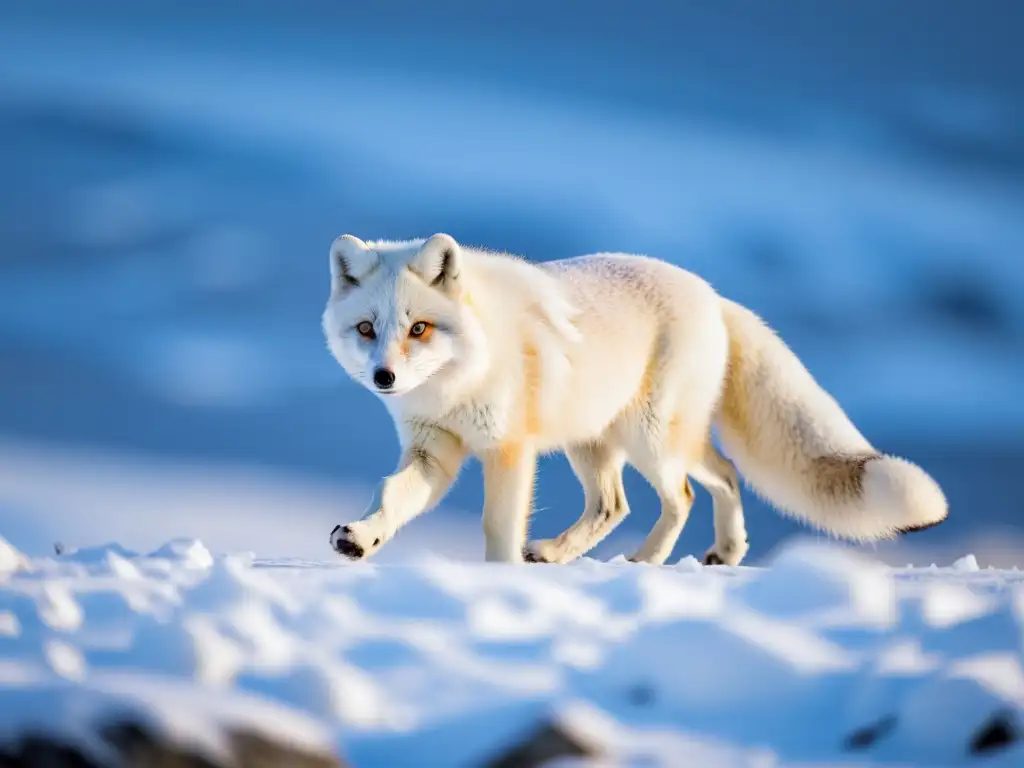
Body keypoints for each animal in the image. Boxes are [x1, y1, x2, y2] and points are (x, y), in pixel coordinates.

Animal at [323, 233, 946, 565]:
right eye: (367, 329)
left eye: (419, 328)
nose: (384, 377)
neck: (458, 382)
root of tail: (713, 295)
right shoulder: (435, 450)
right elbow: (391, 497)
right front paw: (362, 537)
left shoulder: (509, 450)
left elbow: (498, 527)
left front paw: (497, 576)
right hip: (598, 444)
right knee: (642, 498)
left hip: (651, 441)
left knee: (689, 494)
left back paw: (647, 562)